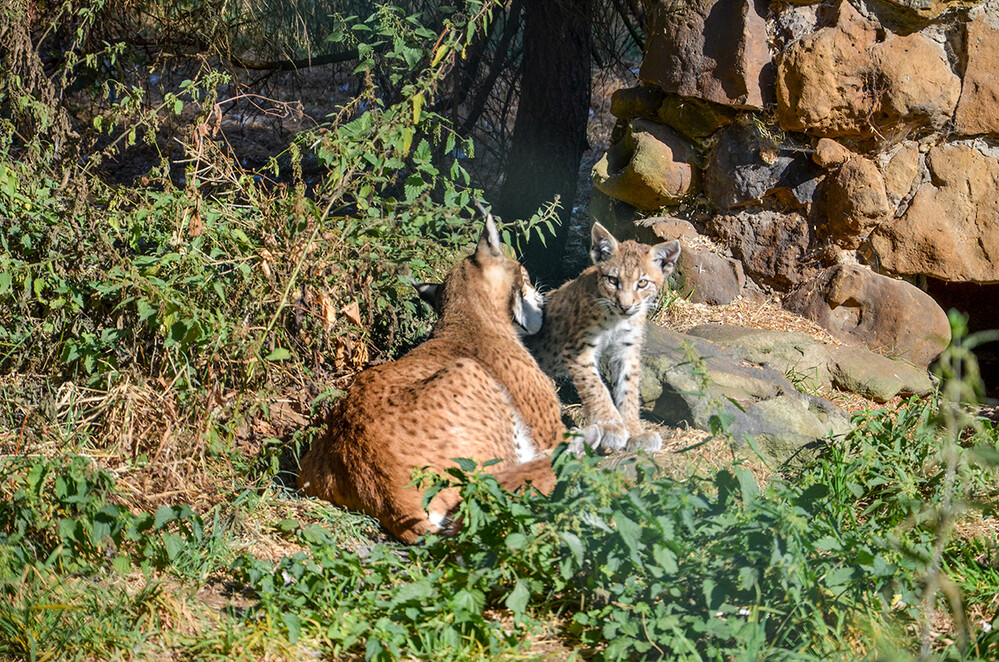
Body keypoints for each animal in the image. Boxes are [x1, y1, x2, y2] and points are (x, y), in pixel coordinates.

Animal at [296, 215, 564, 544]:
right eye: (525, 276)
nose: (541, 296)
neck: (466, 314)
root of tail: (390, 500)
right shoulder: (550, 429)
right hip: (470, 376)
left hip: (309, 465)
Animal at [528, 226, 684, 454]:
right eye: (612, 280)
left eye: (642, 283)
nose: (625, 306)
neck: (617, 320)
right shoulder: (577, 349)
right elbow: (596, 387)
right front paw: (612, 427)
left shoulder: (627, 350)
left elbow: (629, 391)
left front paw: (635, 432)